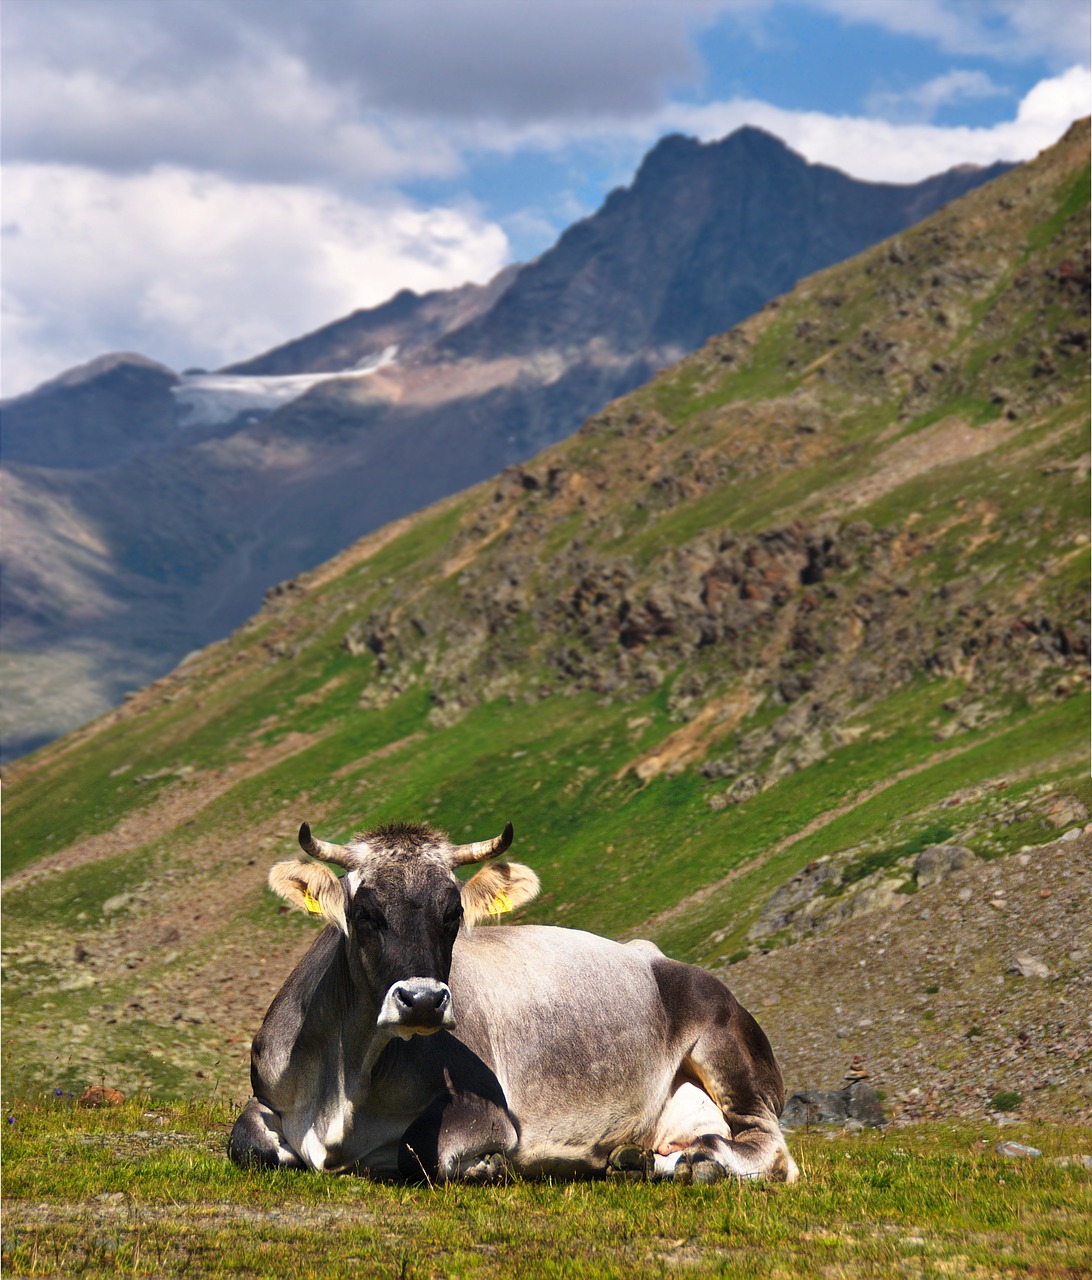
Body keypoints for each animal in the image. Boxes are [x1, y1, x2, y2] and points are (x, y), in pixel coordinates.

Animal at [230, 814, 798, 1182]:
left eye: (453, 913)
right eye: (365, 913)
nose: (422, 1000)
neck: (343, 1089)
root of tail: (654, 955)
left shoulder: (488, 1108)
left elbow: (424, 1152)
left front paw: (491, 1165)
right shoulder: (267, 1095)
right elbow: (246, 1141)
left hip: (725, 1044)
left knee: (770, 1147)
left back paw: (702, 1160)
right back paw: (636, 1160)